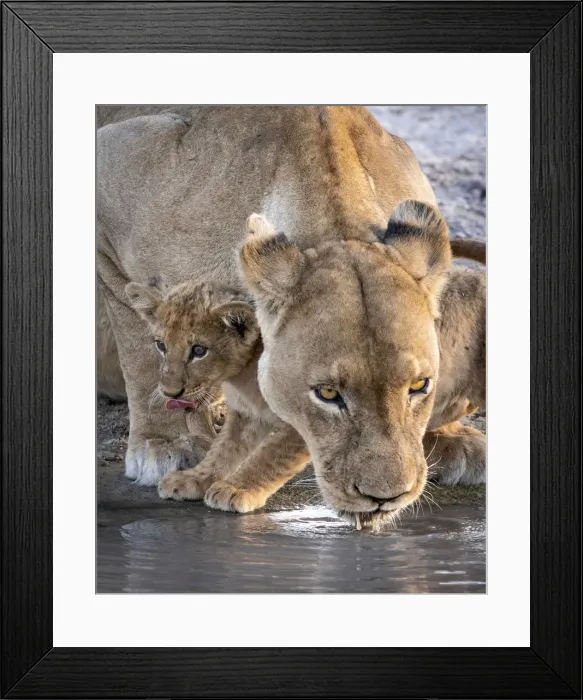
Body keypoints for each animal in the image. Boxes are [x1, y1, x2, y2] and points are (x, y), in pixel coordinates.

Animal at [97, 106, 485, 525]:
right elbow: (141, 348)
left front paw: (449, 437)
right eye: (327, 393)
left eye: (419, 386)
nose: (386, 498)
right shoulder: (113, 171)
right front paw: (167, 443)